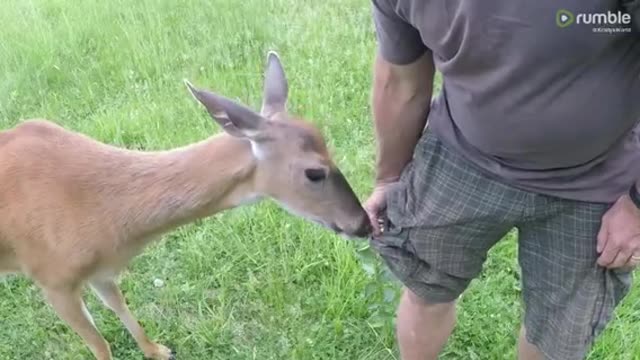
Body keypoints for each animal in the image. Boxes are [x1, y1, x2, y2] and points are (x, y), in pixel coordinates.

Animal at [0, 51, 372, 360]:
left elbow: (120, 306)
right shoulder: (51, 278)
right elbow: (100, 345)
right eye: (314, 172)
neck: (101, 213)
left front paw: (157, 350)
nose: (364, 223)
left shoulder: (101, 270)